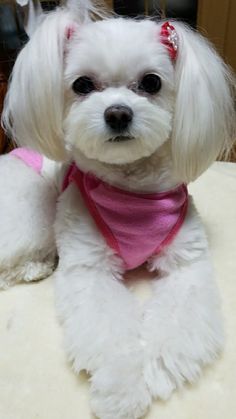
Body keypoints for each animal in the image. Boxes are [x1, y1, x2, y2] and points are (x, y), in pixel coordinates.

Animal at [0, 0, 236, 419]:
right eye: (82, 85)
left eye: (152, 82)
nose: (118, 114)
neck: (131, 190)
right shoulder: (88, 269)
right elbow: (108, 331)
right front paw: (121, 389)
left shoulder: (187, 265)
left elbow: (178, 321)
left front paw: (156, 368)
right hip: (32, 215)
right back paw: (34, 266)